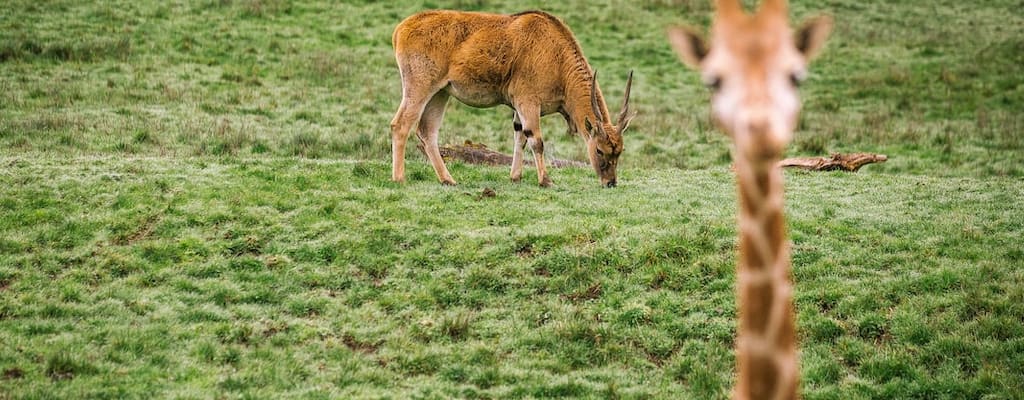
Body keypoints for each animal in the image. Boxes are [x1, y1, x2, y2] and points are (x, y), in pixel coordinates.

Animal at [389, 9, 630, 188]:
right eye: (599, 150)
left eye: (619, 151)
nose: (610, 183)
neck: (557, 56)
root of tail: (401, 28)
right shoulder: (528, 102)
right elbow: (536, 141)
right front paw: (545, 181)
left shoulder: (519, 108)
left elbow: (520, 136)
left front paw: (515, 177)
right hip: (419, 88)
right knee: (400, 125)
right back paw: (399, 178)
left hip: (440, 93)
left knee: (427, 131)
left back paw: (448, 179)